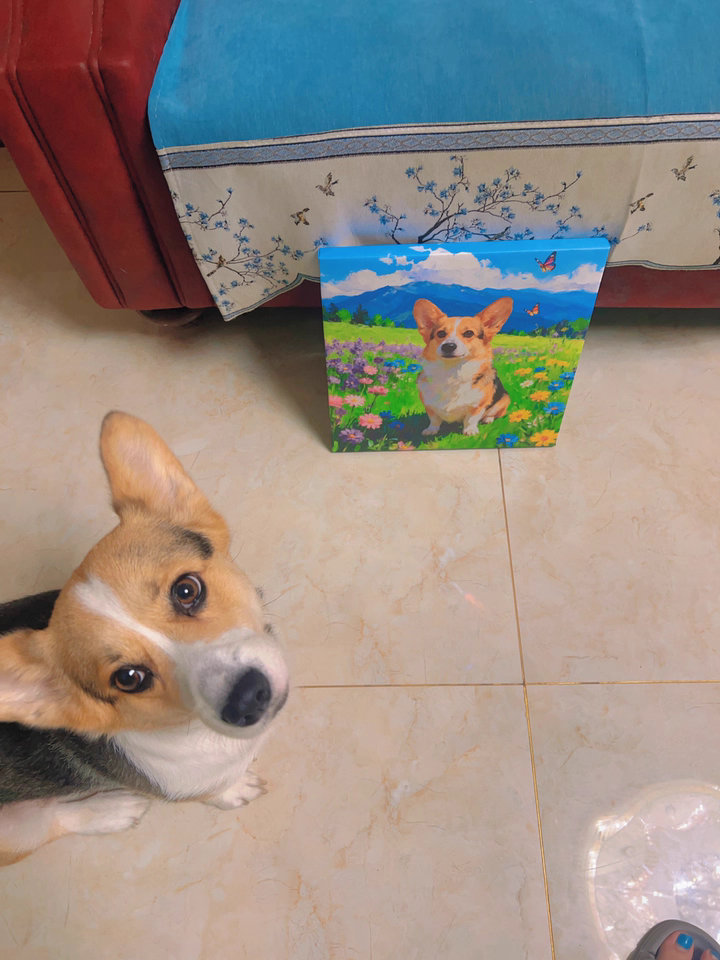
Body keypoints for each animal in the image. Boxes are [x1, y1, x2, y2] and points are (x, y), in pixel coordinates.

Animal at [0, 412, 289, 865]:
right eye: (130, 678)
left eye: (186, 590)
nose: (246, 699)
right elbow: (220, 790)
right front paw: (235, 790)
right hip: (14, 831)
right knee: (52, 819)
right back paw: (111, 809)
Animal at [413, 296, 514, 436]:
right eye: (441, 333)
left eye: (469, 333)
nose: (448, 346)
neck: (452, 372)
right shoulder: (429, 404)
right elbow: (434, 419)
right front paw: (431, 430)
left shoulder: (478, 405)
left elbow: (471, 419)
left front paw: (470, 431)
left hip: (504, 400)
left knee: (493, 413)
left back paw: (488, 419)